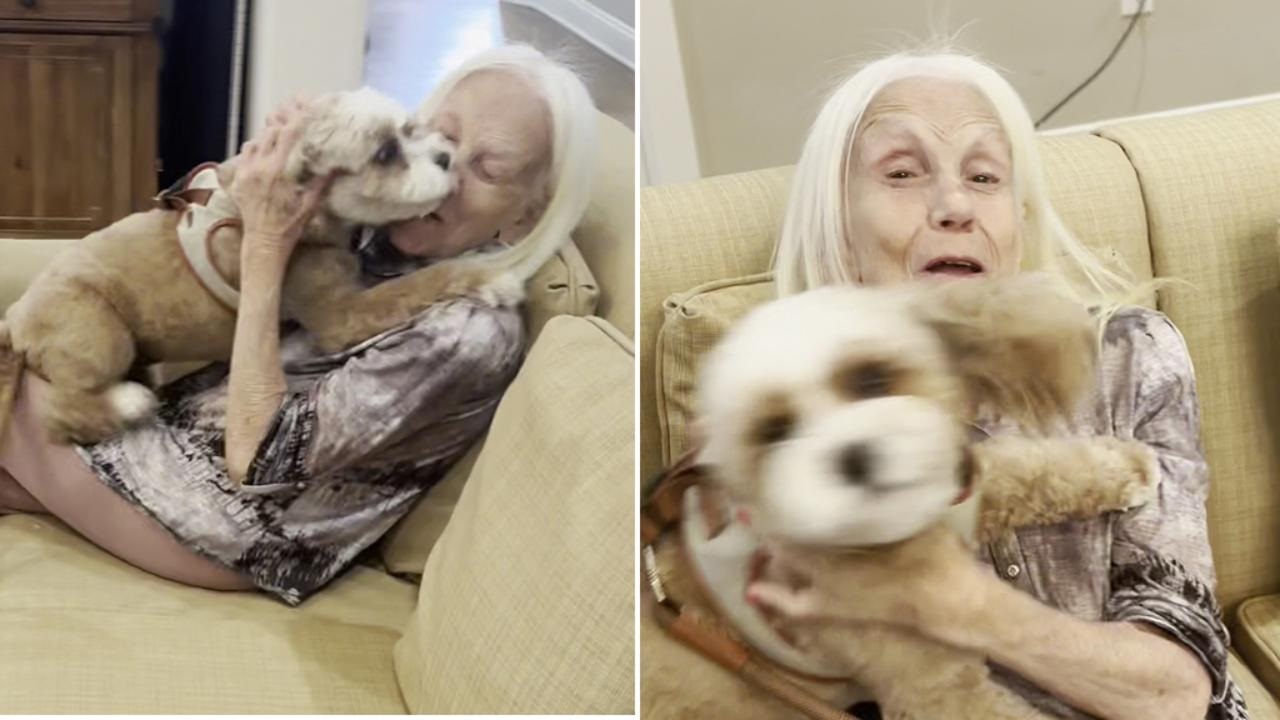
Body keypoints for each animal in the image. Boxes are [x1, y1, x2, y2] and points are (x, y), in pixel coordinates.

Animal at [0, 88, 460, 443]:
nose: (446, 157)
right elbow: (418, 284)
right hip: (100, 333)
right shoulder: (339, 316)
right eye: (384, 152)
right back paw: (129, 401)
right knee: (63, 414)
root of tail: (15, 319)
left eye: (411, 129)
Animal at [645, 274, 1167, 717]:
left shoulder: (963, 493)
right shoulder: (936, 686)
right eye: (774, 432)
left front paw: (1126, 467)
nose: (854, 455)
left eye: (872, 378)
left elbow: (1031, 469)